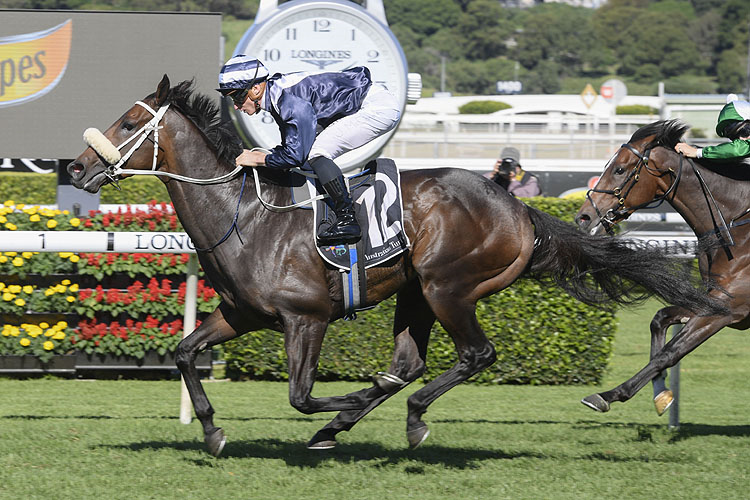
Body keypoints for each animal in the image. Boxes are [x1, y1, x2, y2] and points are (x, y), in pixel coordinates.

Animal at [576, 119, 740, 416]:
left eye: (619, 169)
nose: (583, 216)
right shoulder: (709, 299)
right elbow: (660, 319)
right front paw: (661, 393)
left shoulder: (728, 308)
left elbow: (670, 353)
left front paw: (608, 394)